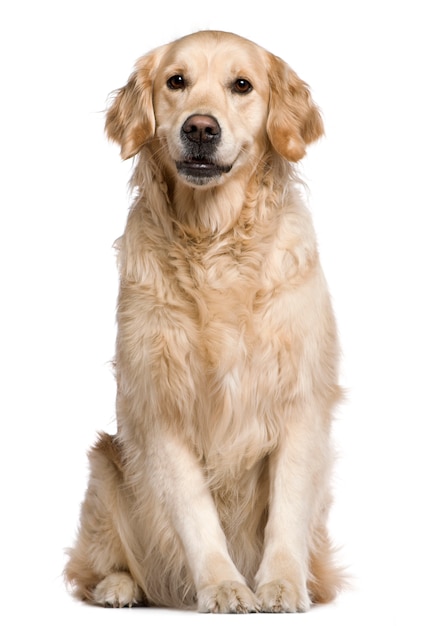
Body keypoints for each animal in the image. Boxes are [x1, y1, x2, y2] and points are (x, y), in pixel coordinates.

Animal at [65, 31, 346, 612]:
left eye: (242, 85)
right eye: (177, 81)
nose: (200, 127)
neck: (214, 242)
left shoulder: (300, 401)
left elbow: (287, 511)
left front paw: (281, 586)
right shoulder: (159, 406)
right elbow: (196, 515)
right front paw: (224, 587)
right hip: (104, 466)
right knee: (94, 565)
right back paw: (119, 586)